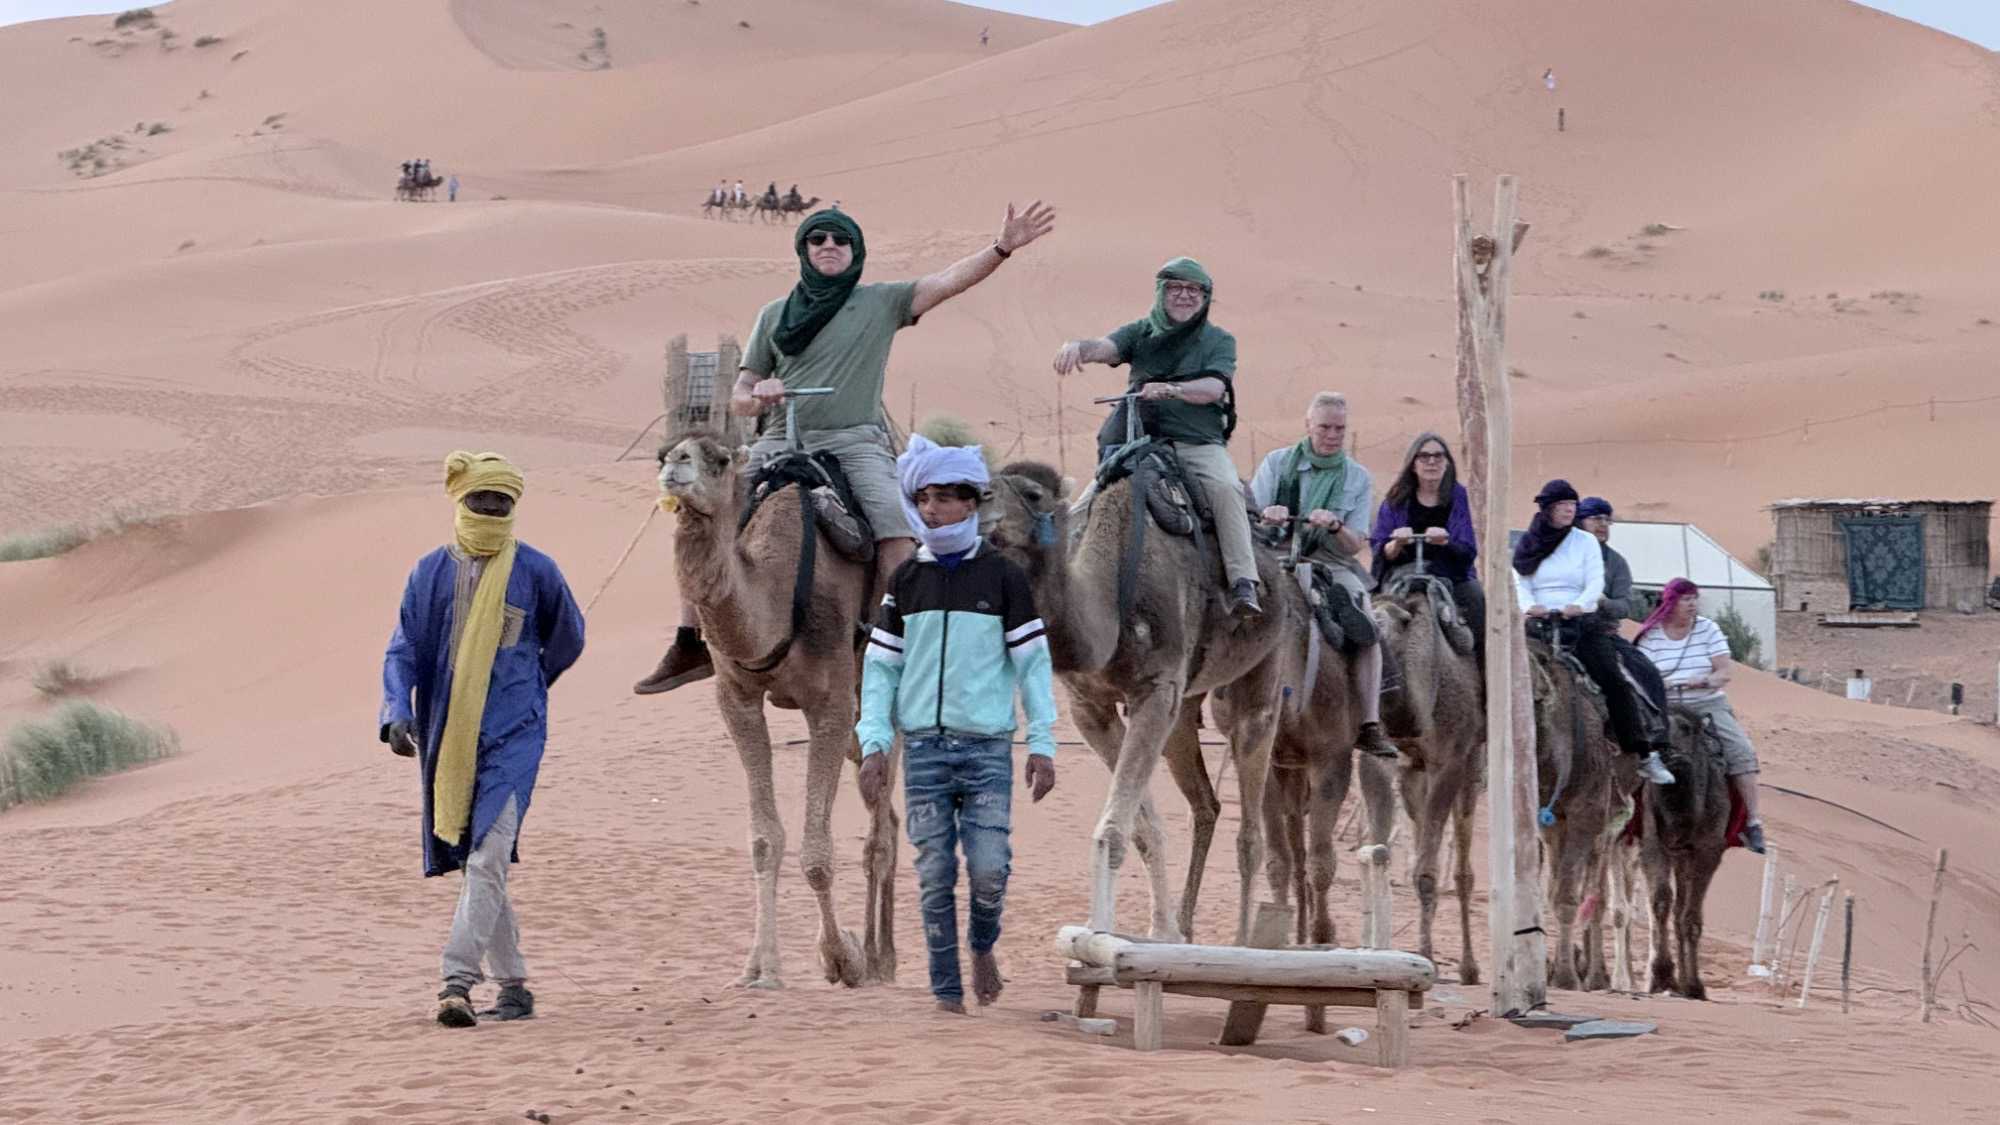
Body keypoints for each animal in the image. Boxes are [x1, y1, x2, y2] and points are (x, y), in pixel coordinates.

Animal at [656, 432, 899, 990]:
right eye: (669, 453)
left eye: (720, 459)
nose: (675, 463)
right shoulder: (737, 698)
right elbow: (765, 840)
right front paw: (759, 968)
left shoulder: (829, 703)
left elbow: (818, 854)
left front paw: (841, 958)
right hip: (858, 725)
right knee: (889, 814)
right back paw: (886, 954)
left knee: (881, 833)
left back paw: (878, 958)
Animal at [984, 460, 1292, 947]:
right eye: (984, 481)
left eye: (1033, 494)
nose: (982, 506)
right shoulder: (1090, 708)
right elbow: (1141, 829)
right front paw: (1158, 930)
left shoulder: (1156, 688)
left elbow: (1113, 831)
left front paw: (1104, 935)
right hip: (1185, 709)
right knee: (1206, 805)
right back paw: (1186, 927)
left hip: (1265, 666)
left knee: (1250, 830)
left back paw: (1243, 943)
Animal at [1374, 566, 1485, 984]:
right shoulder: (1402, 766)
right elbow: (1413, 864)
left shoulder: (1450, 761)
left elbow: (1427, 872)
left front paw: (1429, 960)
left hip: (1471, 763)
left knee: (1463, 868)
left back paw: (1470, 967)